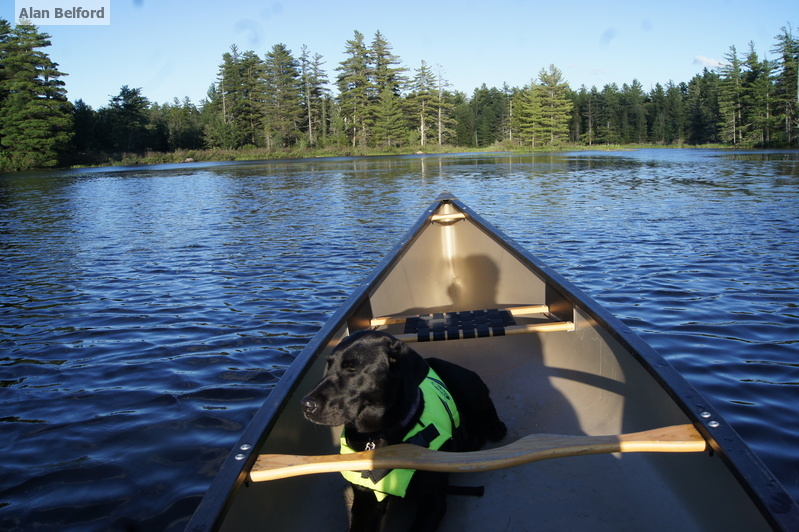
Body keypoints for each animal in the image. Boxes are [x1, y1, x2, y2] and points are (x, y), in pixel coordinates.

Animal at [300, 330, 506, 528]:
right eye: (328, 366)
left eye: (352, 368)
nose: (306, 405)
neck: (377, 435)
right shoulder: (365, 499)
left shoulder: (433, 499)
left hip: (463, 382)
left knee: (486, 403)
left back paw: (493, 427)